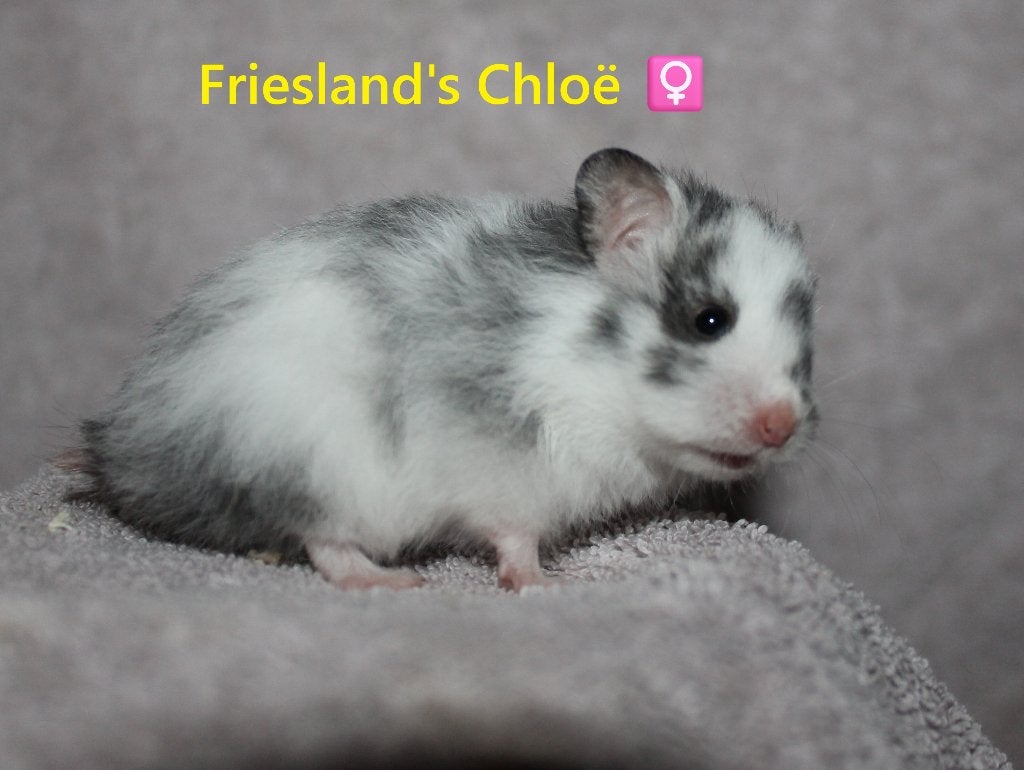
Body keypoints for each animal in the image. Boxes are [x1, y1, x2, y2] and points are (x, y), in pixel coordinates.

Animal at [67, 148, 817, 592]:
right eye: (709, 320)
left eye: (805, 347)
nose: (783, 429)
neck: (598, 382)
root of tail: (125, 454)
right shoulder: (503, 468)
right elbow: (514, 538)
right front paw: (548, 584)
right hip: (318, 462)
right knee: (324, 544)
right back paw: (394, 583)